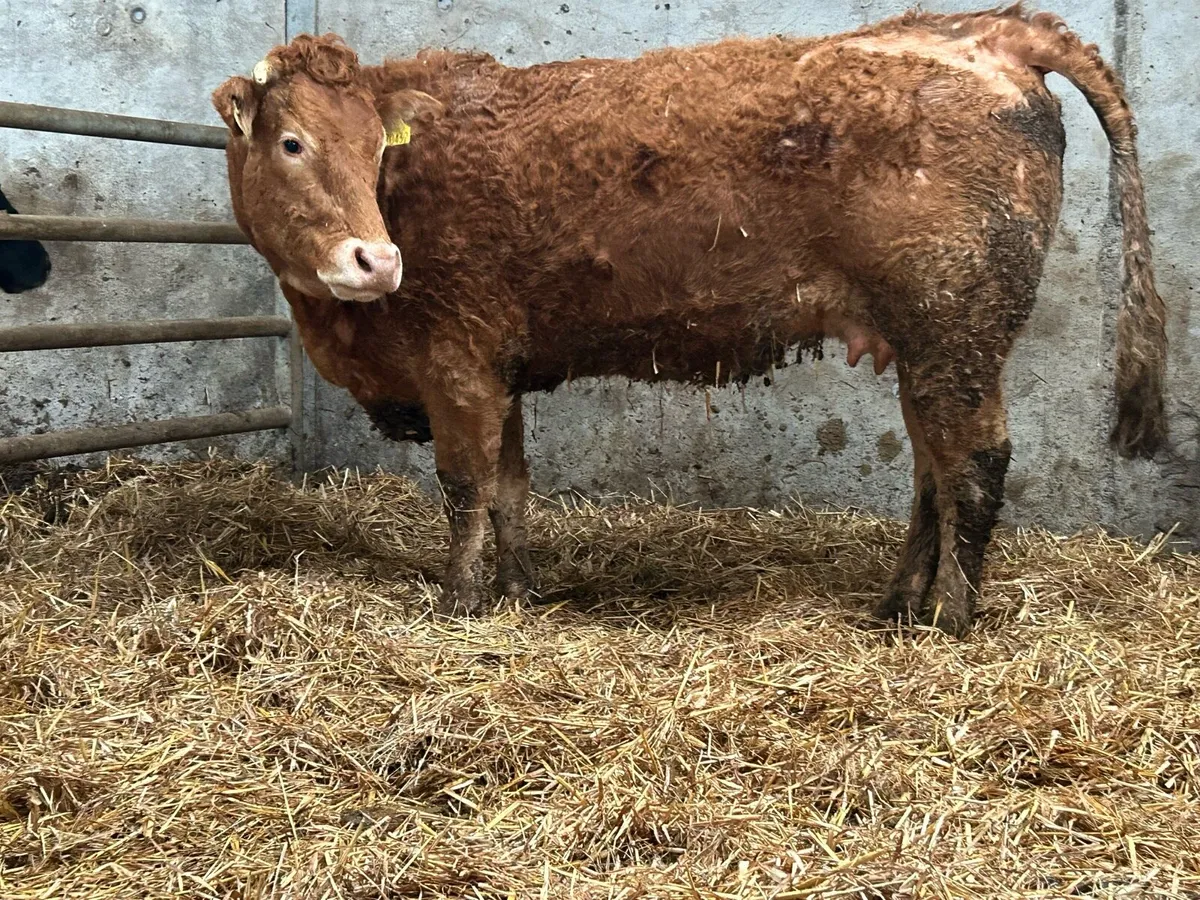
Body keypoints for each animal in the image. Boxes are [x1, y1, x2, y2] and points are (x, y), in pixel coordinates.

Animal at [212, 3, 1167, 636]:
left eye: (376, 148)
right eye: (292, 143)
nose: (375, 261)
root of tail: (984, 29)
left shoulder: (458, 360)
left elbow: (465, 487)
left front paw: (459, 602)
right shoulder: (501, 367)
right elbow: (513, 487)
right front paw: (519, 594)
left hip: (957, 330)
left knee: (974, 463)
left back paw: (953, 621)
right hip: (924, 344)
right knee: (933, 468)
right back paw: (898, 606)